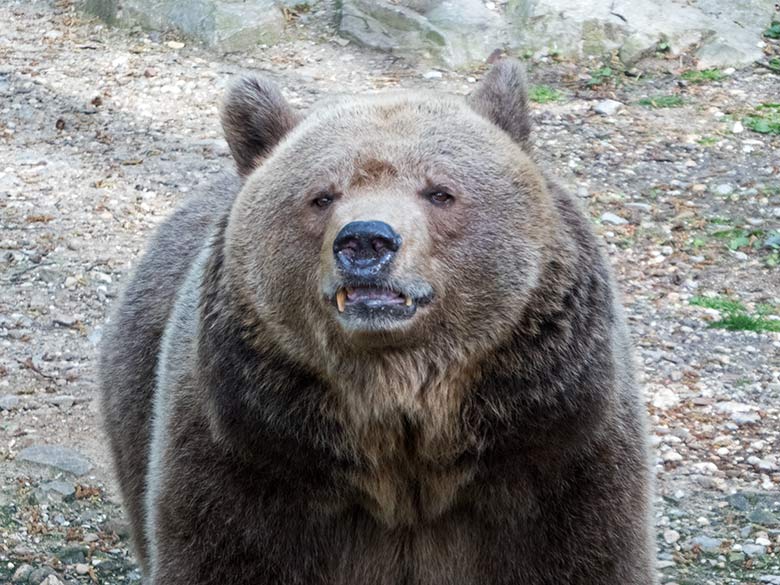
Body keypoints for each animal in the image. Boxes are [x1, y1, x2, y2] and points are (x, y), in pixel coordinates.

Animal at [100, 60, 656, 584]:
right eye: (322, 195)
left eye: (440, 191)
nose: (366, 240)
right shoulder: (251, 458)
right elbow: (223, 552)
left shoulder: (556, 451)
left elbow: (584, 555)